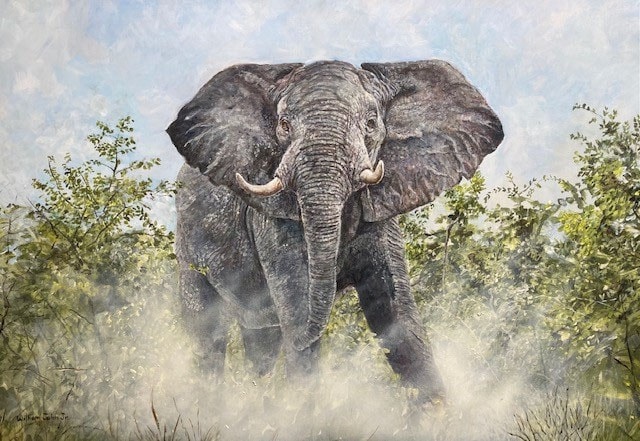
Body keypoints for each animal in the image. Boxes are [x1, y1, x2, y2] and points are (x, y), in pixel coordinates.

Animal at [166, 60, 503, 404]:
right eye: (284, 125)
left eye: (371, 123)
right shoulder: (272, 219)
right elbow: (298, 304)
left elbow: (398, 317)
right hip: (187, 245)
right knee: (208, 334)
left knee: (261, 340)